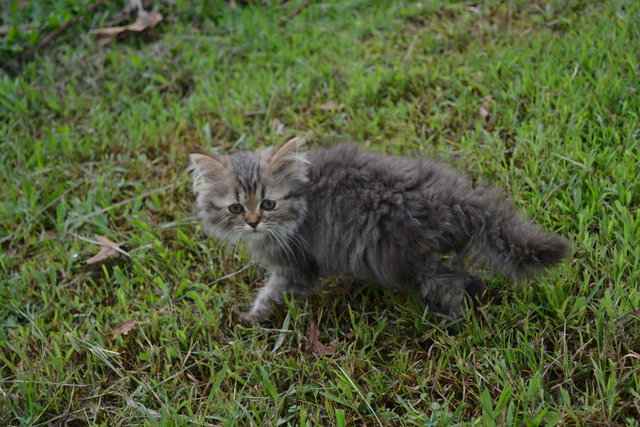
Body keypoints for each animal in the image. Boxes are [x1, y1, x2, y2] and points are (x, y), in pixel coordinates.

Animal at [188, 139, 568, 322]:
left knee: (456, 285)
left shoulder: (295, 267)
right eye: (236, 208)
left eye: (268, 204)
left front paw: (252, 317)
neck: (303, 199)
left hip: (414, 261)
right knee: (469, 280)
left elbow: (271, 293)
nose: (252, 222)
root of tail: (454, 199)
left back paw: (453, 323)